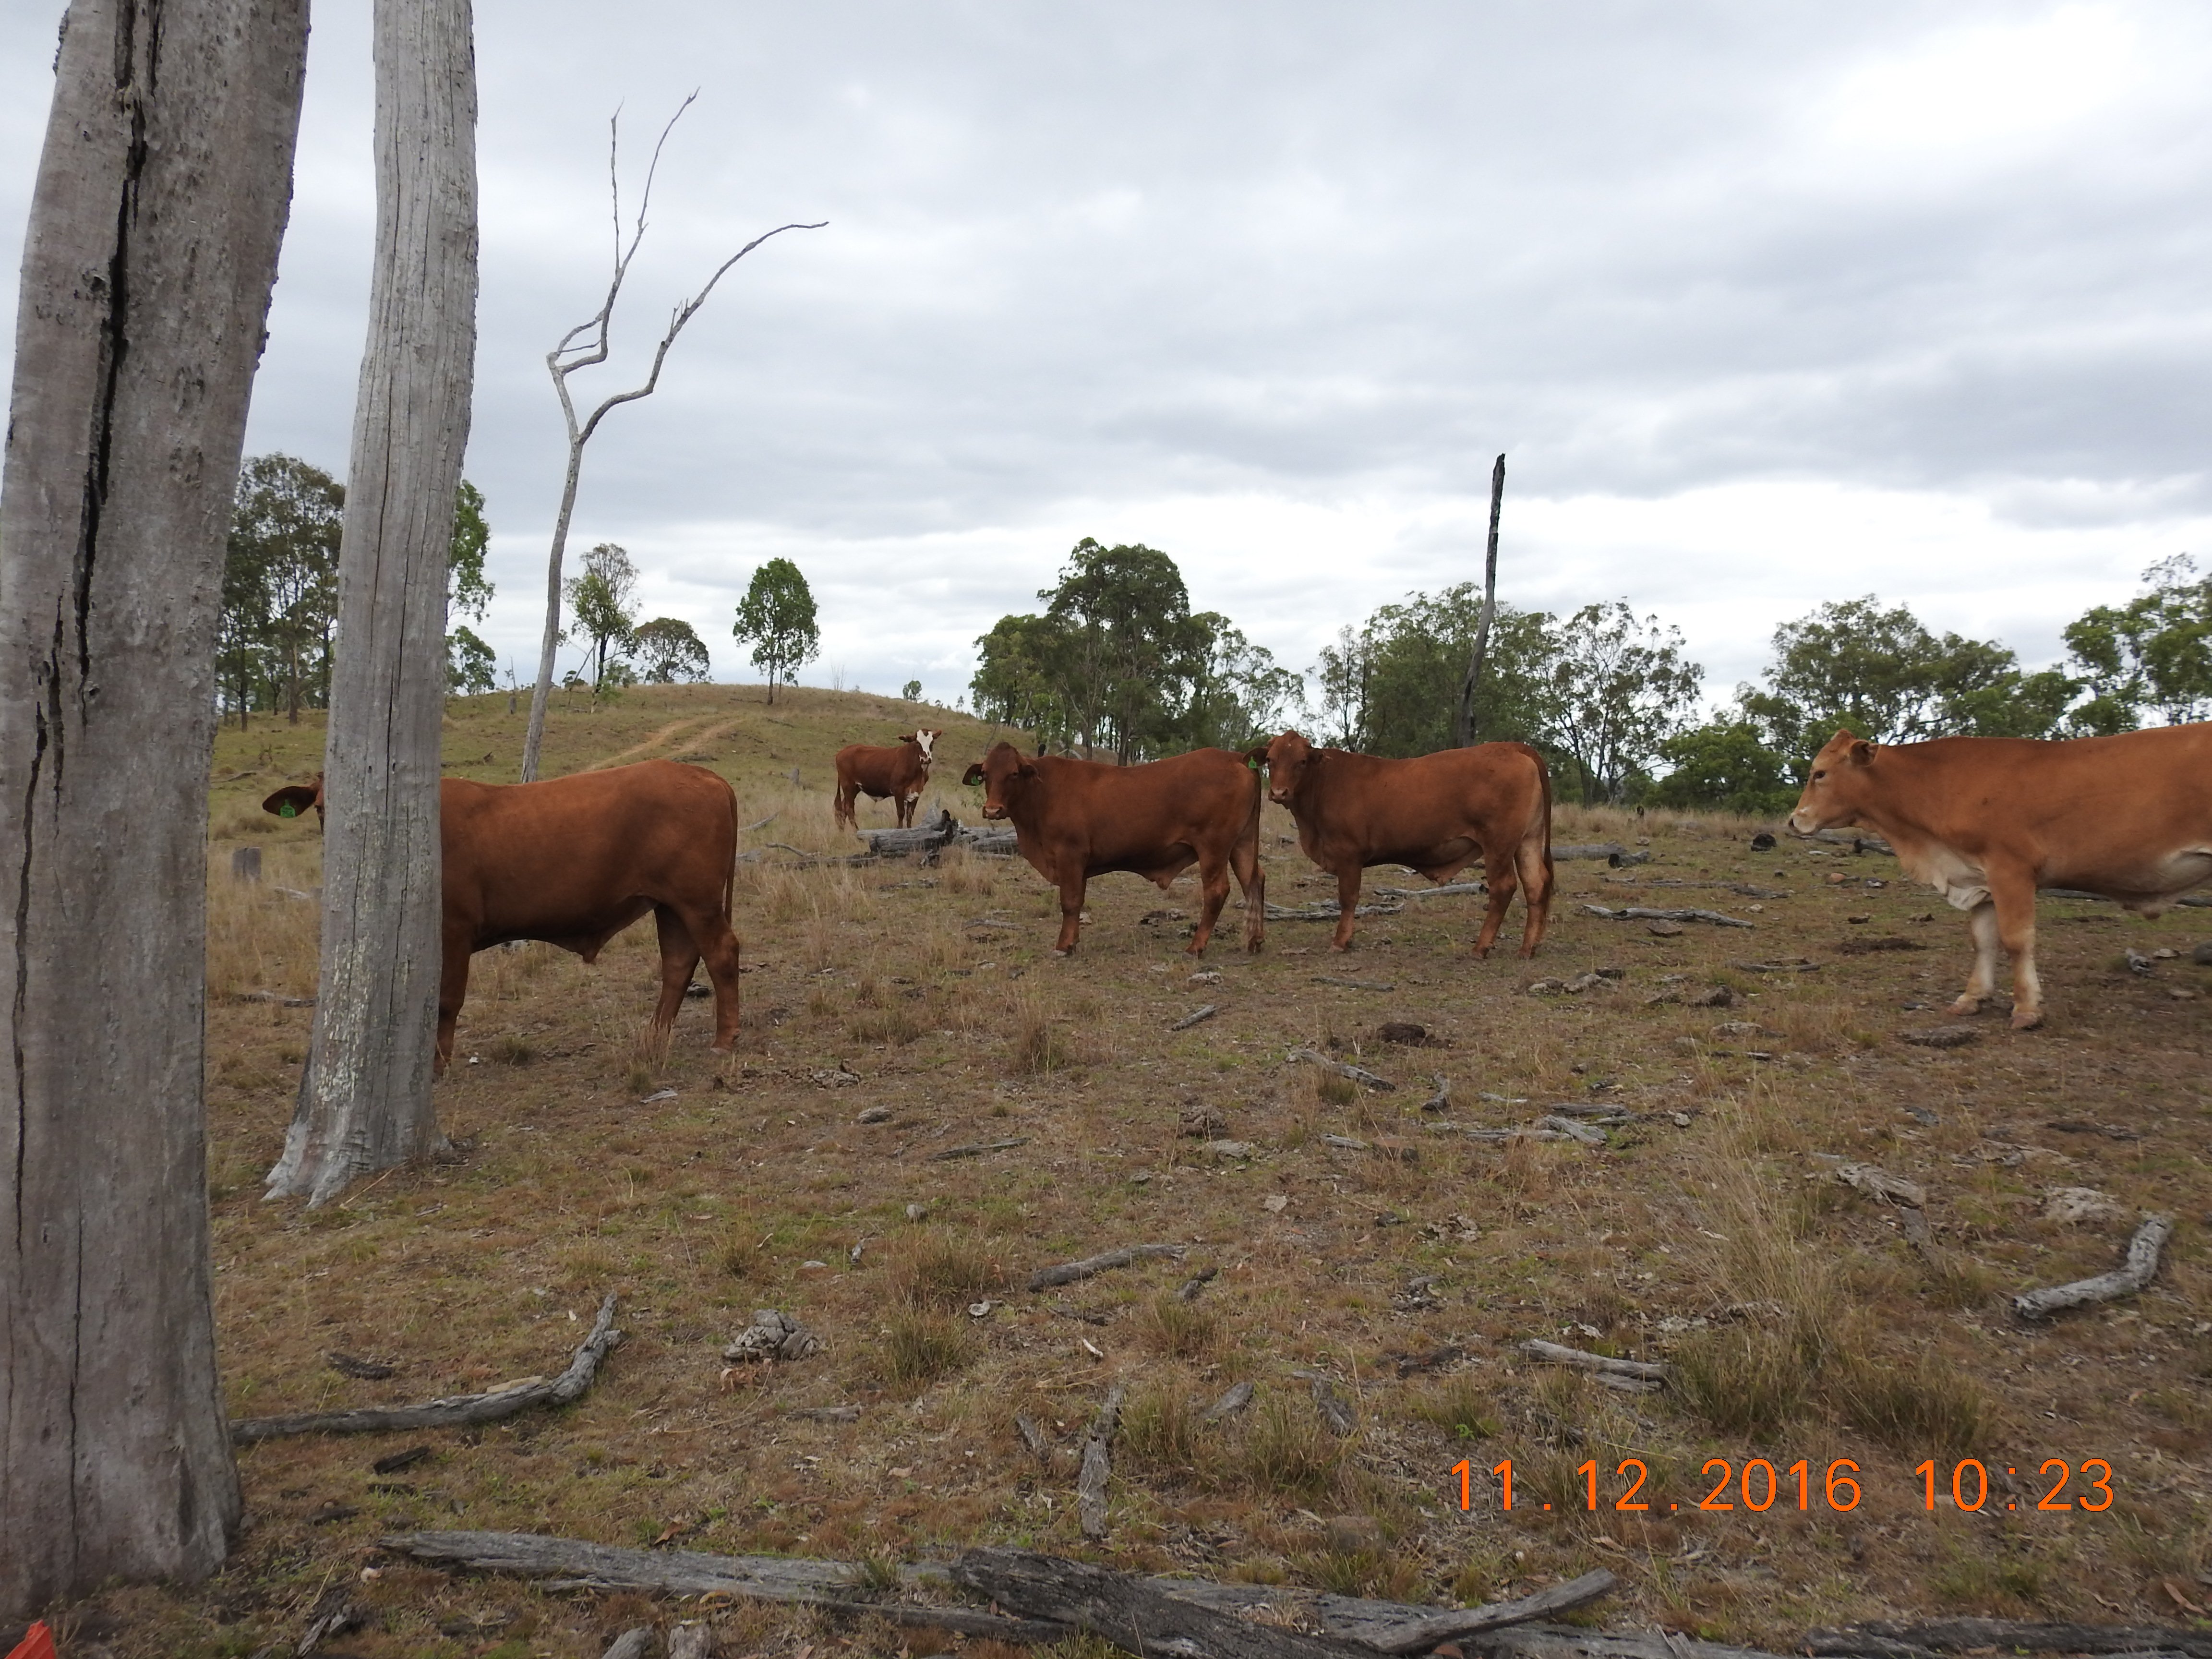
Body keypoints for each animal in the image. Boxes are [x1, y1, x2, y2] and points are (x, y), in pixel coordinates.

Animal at [262, 759, 743, 1071]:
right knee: (678, 963)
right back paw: (654, 1036)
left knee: (721, 954)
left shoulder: (453, 931)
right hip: (670, 904)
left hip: (697, 902)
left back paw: (724, 1041)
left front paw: (437, 1068)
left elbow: (446, 1000)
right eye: (321, 808)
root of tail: (707, 776)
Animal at [834, 729, 943, 830]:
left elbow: (910, 816)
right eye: (917, 742)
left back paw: (842, 830)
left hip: (855, 788)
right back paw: (856, 831)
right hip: (848, 785)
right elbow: (901, 814)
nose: (926, 759)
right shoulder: (898, 790)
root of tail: (842, 752)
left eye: (932, 742)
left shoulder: (916, 793)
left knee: (842, 808)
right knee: (849, 809)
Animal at [958, 741, 1265, 956]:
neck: (1042, 794)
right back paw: (1255, 940)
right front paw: (1073, 940)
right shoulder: (1079, 864)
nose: (992, 810)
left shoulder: (1070, 855)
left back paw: (1196, 947)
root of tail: (1236, 757)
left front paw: (1064, 945)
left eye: (1013, 773)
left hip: (1213, 848)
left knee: (1217, 892)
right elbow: (1077, 901)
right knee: (1254, 882)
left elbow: (1070, 902)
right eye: (985, 774)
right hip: (1242, 844)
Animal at [1250, 731, 1554, 956]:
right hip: (1528, 840)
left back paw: (1481, 947)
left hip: (1498, 845)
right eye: (1271, 760)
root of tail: (1513, 747)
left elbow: (1348, 898)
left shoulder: (1349, 855)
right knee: (1536, 884)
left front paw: (1341, 942)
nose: (1279, 792)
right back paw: (1528, 948)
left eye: (1301, 761)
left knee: (1504, 887)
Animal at [1788, 724, 2212, 1029]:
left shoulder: (2011, 871)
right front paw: (1972, 998)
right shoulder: (1979, 879)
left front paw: (2026, 1008)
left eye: (1820, 773)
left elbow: (2015, 940)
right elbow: (1983, 941)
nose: (1794, 820)